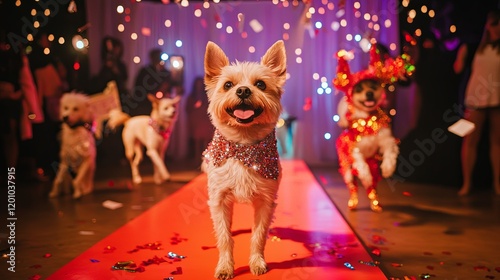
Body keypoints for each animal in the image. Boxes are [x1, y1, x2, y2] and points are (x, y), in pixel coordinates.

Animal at [202, 40, 288, 280]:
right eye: (228, 85)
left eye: (261, 84)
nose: (242, 90)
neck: (243, 146)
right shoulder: (219, 199)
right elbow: (224, 237)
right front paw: (225, 266)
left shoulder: (265, 201)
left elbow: (258, 236)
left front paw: (257, 262)